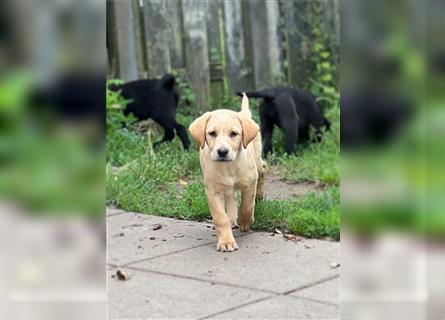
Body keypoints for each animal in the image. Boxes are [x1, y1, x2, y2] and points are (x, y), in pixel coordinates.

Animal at [187, 94, 264, 251]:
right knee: (231, 198)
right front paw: (226, 242)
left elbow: (247, 205)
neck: (228, 167)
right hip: (227, 188)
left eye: (234, 134)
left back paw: (259, 196)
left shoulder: (250, 182)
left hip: (258, 162)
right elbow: (220, 218)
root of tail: (243, 114)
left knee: (264, 169)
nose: (222, 152)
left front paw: (245, 221)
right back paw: (232, 217)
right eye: (212, 133)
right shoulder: (212, 191)